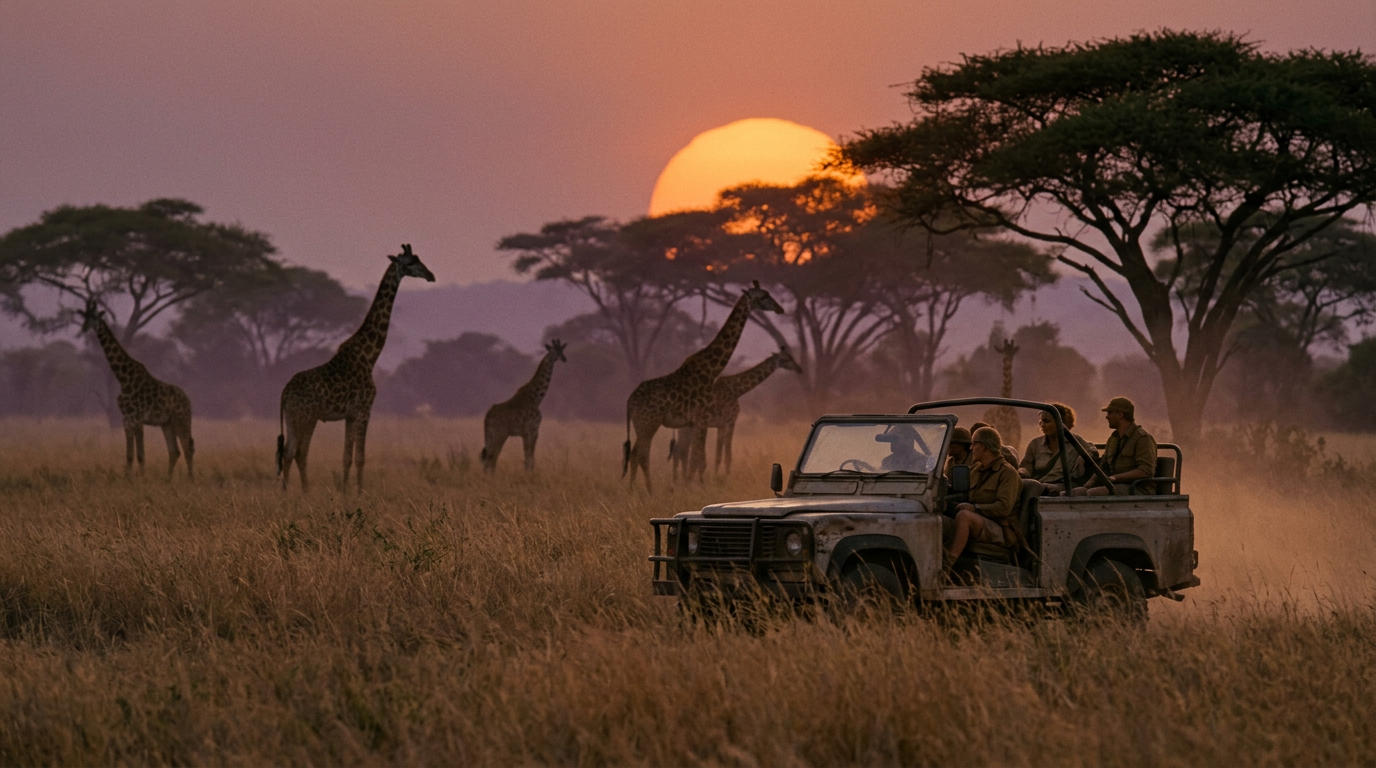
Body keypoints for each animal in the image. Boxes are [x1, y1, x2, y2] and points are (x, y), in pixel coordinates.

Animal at [78, 299, 195, 478]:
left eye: (95, 317)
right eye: (85, 316)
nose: (84, 328)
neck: (124, 379)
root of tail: (188, 400)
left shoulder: (138, 418)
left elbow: (140, 455)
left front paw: (142, 479)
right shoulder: (126, 419)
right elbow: (129, 455)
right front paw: (128, 479)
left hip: (181, 419)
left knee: (188, 448)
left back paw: (190, 479)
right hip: (166, 423)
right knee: (174, 451)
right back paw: (168, 480)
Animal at [277, 244, 434, 491]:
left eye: (419, 259)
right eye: (409, 263)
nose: (431, 275)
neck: (369, 357)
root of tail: (285, 392)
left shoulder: (350, 415)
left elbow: (346, 457)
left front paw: (345, 491)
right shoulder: (364, 409)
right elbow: (360, 457)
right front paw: (360, 492)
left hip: (293, 418)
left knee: (288, 452)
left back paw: (286, 493)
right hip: (308, 416)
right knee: (300, 452)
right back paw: (305, 492)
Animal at [480, 339, 567, 472]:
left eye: (562, 349)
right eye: (555, 351)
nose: (564, 358)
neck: (536, 398)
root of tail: (487, 417)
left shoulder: (526, 434)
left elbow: (527, 458)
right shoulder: (533, 430)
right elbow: (530, 459)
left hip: (489, 435)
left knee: (488, 458)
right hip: (500, 434)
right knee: (492, 458)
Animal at [622, 281, 783, 491]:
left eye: (768, 293)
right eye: (763, 296)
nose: (780, 309)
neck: (711, 369)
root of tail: (630, 402)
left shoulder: (696, 421)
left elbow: (696, 459)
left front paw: (690, 487)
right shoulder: (702, 418)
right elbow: (699, 460)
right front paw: (695, 489)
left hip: (642, 424)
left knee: (636, 455)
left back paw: (636, 491)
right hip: (648, 423)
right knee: (641, 455)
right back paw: (646, 491)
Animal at [670, 346, 803, 480]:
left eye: (791, 356)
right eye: (786, 359)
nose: (799, 369)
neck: (737, 391)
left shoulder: (722, 425)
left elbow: (719, 455)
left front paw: (717, 476)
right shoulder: (730, 422)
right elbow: (726, 455)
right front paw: (724, 478)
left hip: (687, 427)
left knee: (681, 451)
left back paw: (679, 480)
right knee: (681, 451)